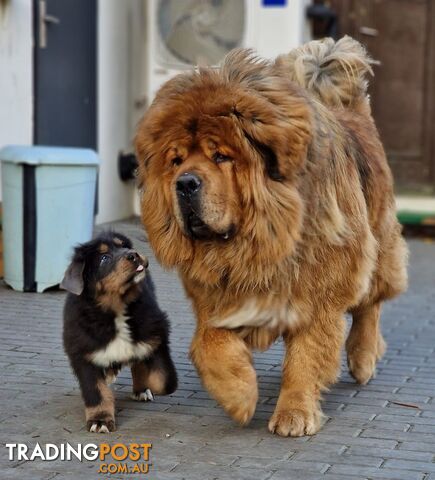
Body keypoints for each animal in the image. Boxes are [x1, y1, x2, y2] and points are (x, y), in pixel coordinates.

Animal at [61, 231, 177, 434]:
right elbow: (96, 391)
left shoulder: (156, 332)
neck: (117, 309)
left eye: (124, 246)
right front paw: (100, 420)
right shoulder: (83, 352)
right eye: (104, 258)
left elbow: (163, 379)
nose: (133, 254)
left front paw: (148, 383)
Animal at [136, 35, 408, 436]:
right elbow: (209, 343)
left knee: (369, 306)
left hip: (374, 245)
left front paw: (294, 414)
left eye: (221, 157)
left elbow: (305, 358)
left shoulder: (318, 293)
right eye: (176, 160)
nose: (185, 183)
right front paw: (239, 394)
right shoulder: (217, 298)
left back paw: (362, 358)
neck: (259, 241)